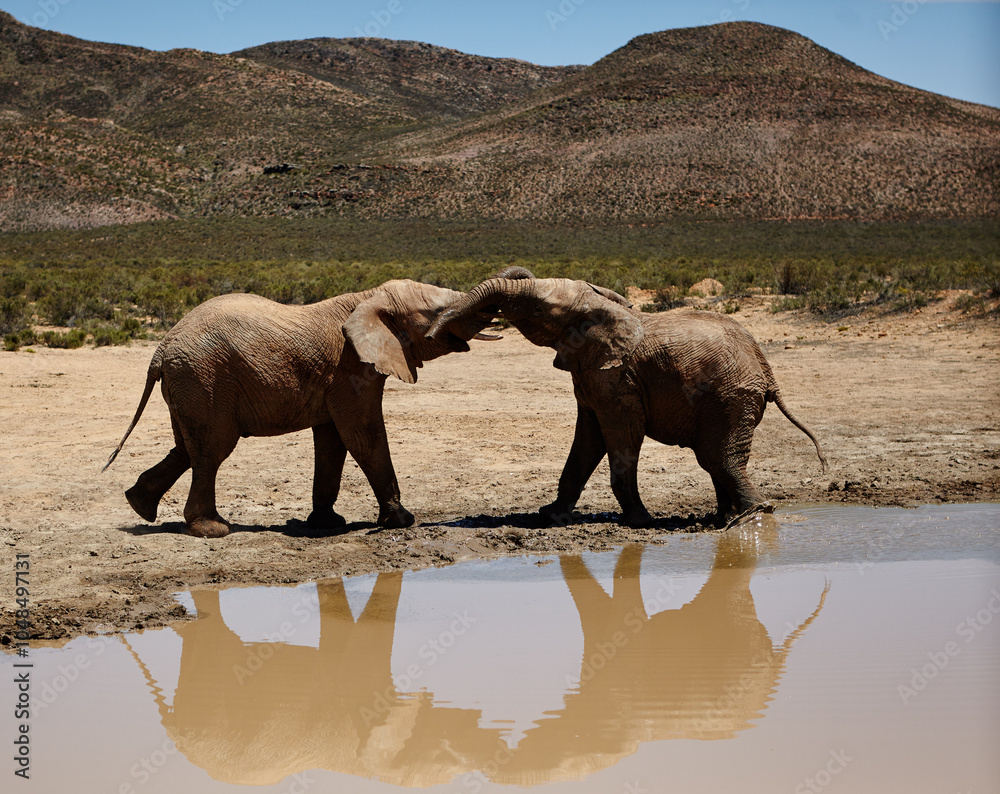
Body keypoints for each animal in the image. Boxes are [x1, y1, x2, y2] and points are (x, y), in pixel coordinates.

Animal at [104, 279, 496, 538]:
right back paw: (213, 529)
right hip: (203, 378)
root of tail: (160, 350)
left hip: (189, 384)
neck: (368, 298)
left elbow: (333, 441)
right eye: (438, 312)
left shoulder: (336, 376)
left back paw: (139, 505)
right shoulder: (350, 369)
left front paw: (327, 523)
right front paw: (401, 520)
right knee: (212, 450)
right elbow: (362, 435)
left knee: (187, 447)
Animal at [427, 274, 827, 526]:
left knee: (720, 457)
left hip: (730, 397)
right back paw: (723, 519)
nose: (432, 335)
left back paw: (752, 518)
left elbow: (622, 436)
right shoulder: (591, 373)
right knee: (713, 458)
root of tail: (767, 370)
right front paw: (550, 515)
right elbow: (587, 440)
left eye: (539, 310)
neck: (602, 309)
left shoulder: (618, 378)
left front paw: (638, 522)